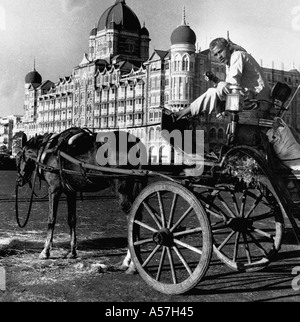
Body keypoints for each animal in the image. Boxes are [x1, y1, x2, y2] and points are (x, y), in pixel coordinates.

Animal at [15, 127, 148, 272]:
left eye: (17, 157)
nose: (19, 180)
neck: (47, 151)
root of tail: (135, 143)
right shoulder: (70, 191)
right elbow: (72, 219)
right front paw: (72, 252)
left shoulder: (54, 189)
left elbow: (51, 219)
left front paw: (45, 251)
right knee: (137, 215)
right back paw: (134, 260)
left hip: (121, 189)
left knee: (132, 217)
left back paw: (130, 262)